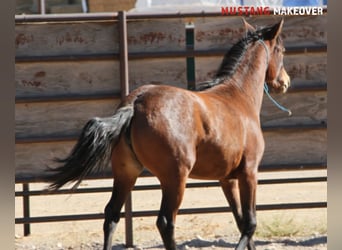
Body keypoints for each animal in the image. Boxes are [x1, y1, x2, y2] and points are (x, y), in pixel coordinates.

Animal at [46, 19, 290, 250]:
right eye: (281, 50)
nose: (285, 82)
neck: (238, 97)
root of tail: (136, 103)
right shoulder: (249, 172)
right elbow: (250, 224)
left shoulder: (227, 179)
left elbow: (241, 221)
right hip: (175, 178)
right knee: (165, 222)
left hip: (126, 172)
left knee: (112, 214)